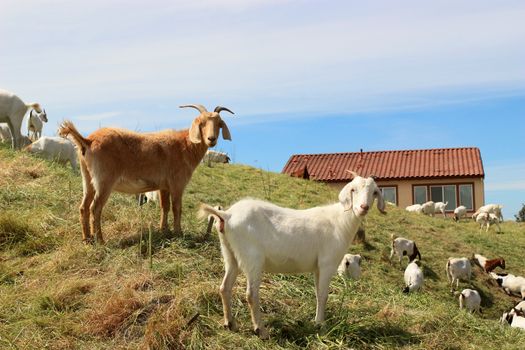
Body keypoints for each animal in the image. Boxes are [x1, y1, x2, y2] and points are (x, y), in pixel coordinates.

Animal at [57, 104, 235, 243]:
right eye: (202, 123)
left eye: (219, 124)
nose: (211, 139)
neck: (185, 145)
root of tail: (87, 141)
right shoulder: (177, 183)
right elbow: (177, 207)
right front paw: (178, 233)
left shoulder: (164, 186)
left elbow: (165, 207)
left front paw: (164, 230)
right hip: (104, 180)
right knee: (95, 208)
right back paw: (100, 240)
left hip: (87, 178)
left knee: (83, 207)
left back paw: (87, 239)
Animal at [196, 172, 384, 340]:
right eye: (353, 190)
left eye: (374, 192)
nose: (363, 208)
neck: (340, 221)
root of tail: (227, 215)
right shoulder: (327, 263)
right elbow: (324, 295)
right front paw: (321, 325)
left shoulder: (318, 267)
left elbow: (318, 293)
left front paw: (317, 321)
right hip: (252, 257)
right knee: (251, 294)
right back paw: (261, 331)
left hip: (230, 254)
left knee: (224, 287)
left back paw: (230, 324)